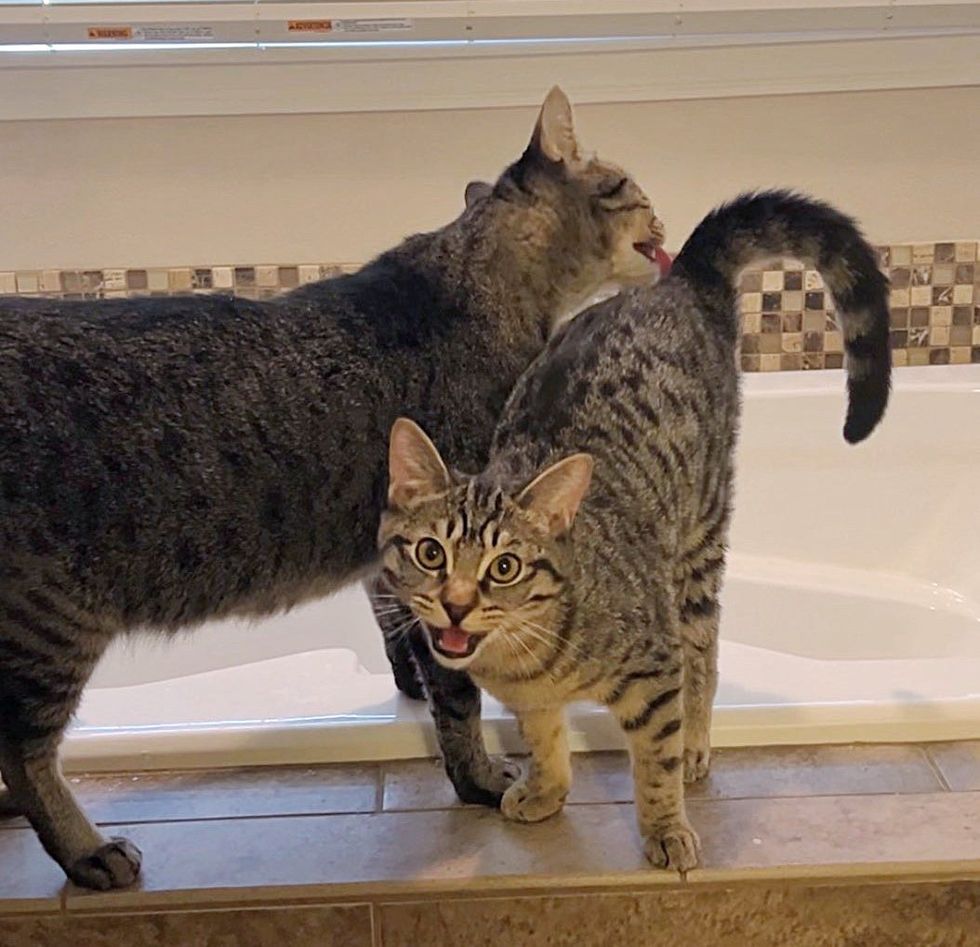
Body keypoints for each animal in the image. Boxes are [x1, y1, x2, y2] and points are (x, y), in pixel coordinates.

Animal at [0, 87, 668, 888]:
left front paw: (412, 676)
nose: (665, 217)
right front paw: (476, 772)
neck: (477, 283)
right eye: (628, 184)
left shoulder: (406, 541)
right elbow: (459, 698)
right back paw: (84, 847)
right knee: (27, 754)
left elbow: (400, 629)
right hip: (50, 622)